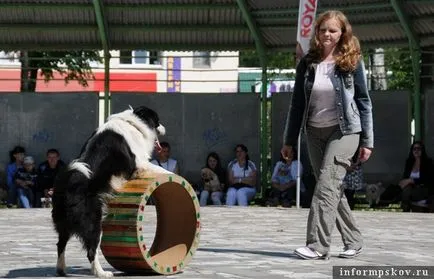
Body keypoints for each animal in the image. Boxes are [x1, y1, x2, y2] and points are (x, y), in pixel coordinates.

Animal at [52, 106, 170, 278]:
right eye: (157, 120)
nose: (164, 128)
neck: (134, 123)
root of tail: (69, 183)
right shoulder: (139, 163)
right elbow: (160, 168)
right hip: (93, 220)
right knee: (91, 249)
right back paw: (101, 272)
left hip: (63, 222)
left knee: (60, 244)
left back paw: (61, 269)